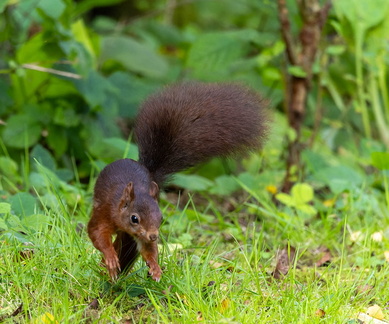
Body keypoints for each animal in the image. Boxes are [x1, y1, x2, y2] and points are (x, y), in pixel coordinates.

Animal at [87, 81, 270, 280]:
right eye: (134, 218)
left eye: (161, 218)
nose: (153, 236)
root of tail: (147, 170)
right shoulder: (105, 213)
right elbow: (96, 234)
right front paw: (110, 257)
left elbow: (147, 250)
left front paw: (155, 267)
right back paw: (107, 264)